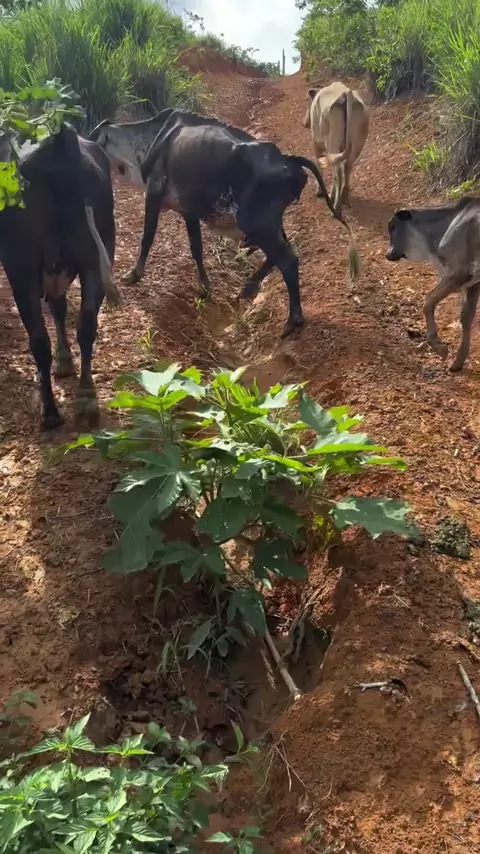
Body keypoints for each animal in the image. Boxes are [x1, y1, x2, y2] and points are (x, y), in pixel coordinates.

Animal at [0, 123, 121, 429]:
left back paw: (50, 411)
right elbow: (60, 308)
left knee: (38, 339)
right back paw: (87, 399)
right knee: (86, 325)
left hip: (21, 267)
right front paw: (65, 361)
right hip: (95, 257)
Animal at [89, 108, 358, 338]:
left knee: (288, 261)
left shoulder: (153, 195)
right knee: (282, 254)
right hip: (268, 224)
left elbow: (147, 238)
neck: (150, 141)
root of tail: (288, 160)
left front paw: (133, 275)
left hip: (256, 223)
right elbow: (196, 249)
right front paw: (206, 286)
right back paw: (248, 288)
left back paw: (292, 320)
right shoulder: (189, 211)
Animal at [304, 81, 369, 217]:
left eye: (307, 101)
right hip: (357, 144)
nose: (305, 123)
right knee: (347, 166)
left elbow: (318, 164)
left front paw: (319, 191)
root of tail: (347, 93)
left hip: (332, 142)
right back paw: (343, 198)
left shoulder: (316, 142)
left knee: (337, 171)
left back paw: (336, 206)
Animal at [385, 197, 480, 372]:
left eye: (393, 226)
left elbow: (428, 302)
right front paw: (458, 362)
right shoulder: (473, 283)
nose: (388, 254)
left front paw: (439, 347)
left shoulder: (459, 273)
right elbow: (466, 317)